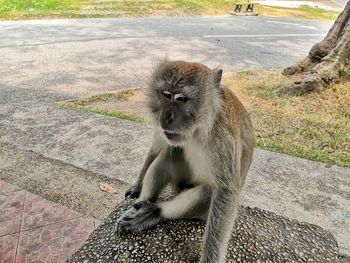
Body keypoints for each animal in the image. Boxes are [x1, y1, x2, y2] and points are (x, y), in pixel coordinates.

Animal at [116, 60, 256, 263]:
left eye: (181, 99)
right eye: (166, 95)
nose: (166, 117)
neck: (197, 129)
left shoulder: (222, 136)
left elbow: (226, 191)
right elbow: (157, 147)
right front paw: (137, 185)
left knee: (209, 190)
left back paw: (155, 212)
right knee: (169, 154)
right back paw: (143, 206)